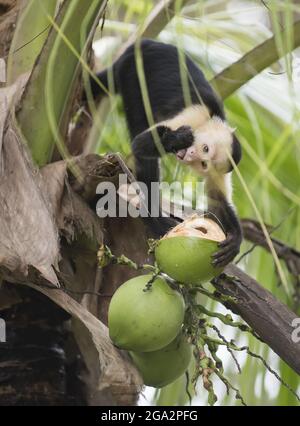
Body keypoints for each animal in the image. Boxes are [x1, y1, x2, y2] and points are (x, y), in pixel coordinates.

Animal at [88, 39, 243, 266]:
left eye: (204, 164)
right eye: (205, 149)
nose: (191, 155)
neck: (209, 121)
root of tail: (146, 43)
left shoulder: (218, 171)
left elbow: (217, 200)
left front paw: (236, 240)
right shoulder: (194, 117)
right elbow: (140, 143)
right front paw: (177, 139)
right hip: (133, 71)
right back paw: (154, 218)